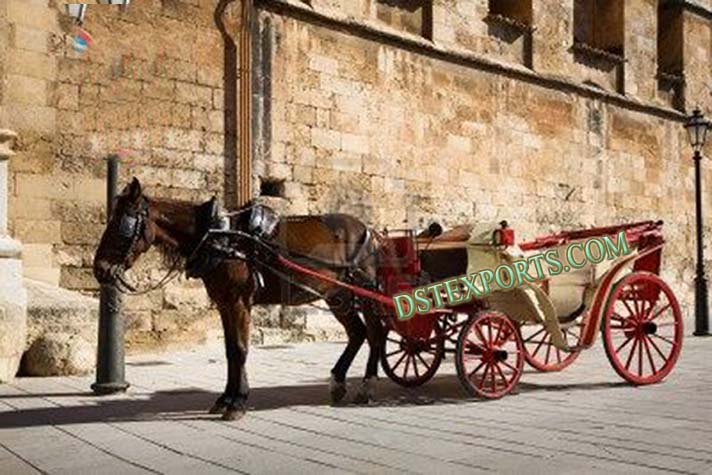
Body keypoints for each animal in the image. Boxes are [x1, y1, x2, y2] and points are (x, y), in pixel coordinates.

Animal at [94, 178, 386, 420]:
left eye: (121, 225)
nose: (99, 269)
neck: (219, 237)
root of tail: (372, 231)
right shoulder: (224, 303)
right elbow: (229, 350)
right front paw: (225, 398)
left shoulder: (239, 301)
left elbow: (240, 349)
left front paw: (237, 402)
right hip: (337, 295)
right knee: (357, 333)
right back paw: (338, 382)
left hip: (366, 294)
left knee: (374, 334)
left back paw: (368, 386)